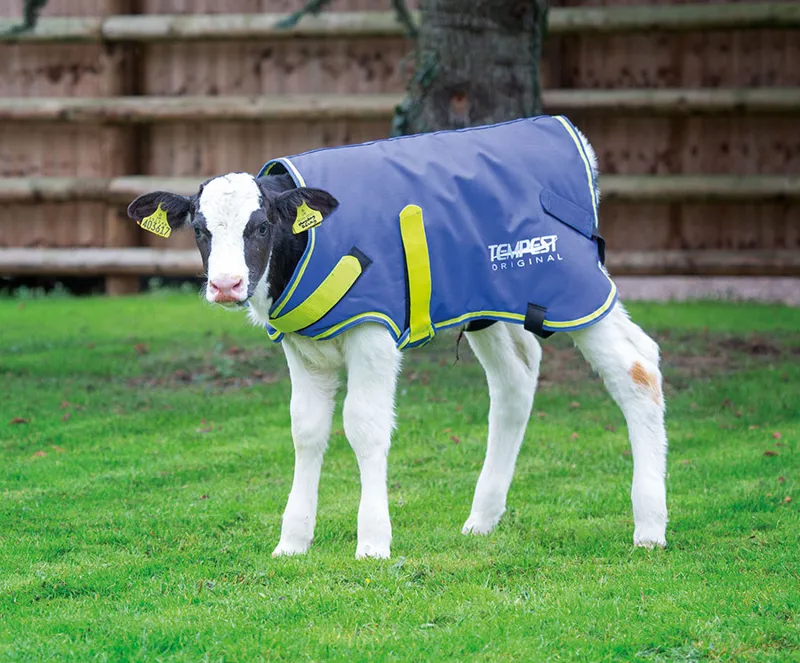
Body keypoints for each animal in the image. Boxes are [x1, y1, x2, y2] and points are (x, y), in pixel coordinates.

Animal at [128, 117, 668, 559]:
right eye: (200, 230)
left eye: (260, 226)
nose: (225, 285)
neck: (310, 243)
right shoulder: (302, 349)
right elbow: (306, 430)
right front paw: (293, 541)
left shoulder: (373, 330)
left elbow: (364, 426)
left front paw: (372, 542)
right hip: (489, 304)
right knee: (517, 379)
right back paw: (482, 518)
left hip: (575, 291)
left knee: (638, 367)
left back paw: (649, 526)